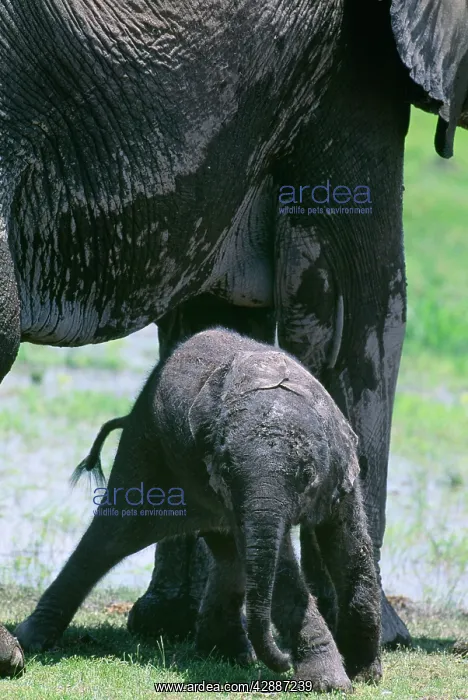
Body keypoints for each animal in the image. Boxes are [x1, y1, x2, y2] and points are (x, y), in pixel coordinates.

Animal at [15, 329, 382, 692]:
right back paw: (29, 642)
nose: (283, 661)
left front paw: (364, 675)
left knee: (228, 554)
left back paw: (226, 655)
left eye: (306, 475)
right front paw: (331, 684)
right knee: (111, 537)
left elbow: (351, 550)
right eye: (227, 471)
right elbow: (283, 572)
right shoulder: (230, 490)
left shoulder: (341, 470)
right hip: (146, 445)